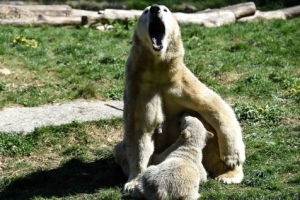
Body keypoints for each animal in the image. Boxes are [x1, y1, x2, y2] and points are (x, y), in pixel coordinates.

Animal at [113, 3, 245, 191]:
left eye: (165, 9)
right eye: (145, 11)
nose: (154, 8)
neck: (158, 68)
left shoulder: (181, 83)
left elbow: (215, 106)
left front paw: (233, 157)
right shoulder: (140, 88)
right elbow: (140, 130)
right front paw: (133, 182)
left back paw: (228, 175)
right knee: (120, 150)